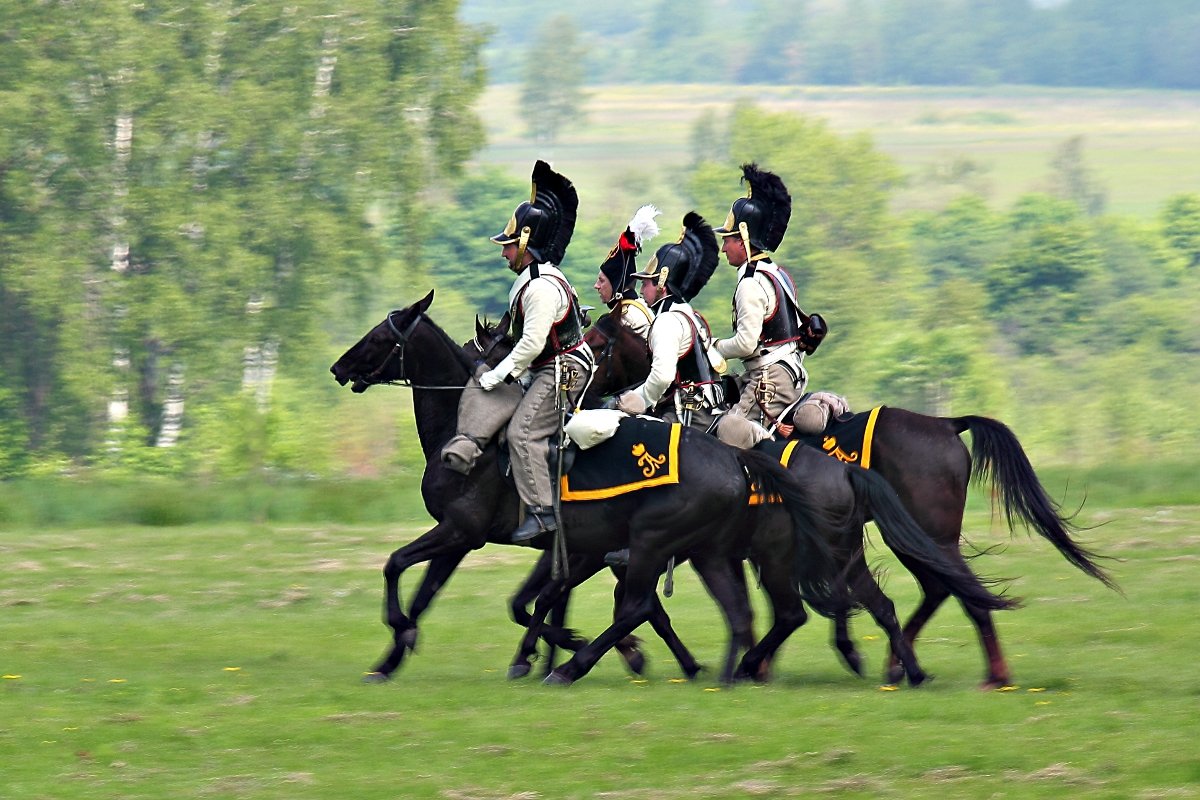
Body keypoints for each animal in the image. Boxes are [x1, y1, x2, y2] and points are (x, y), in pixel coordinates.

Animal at [333, 291, 849, 686]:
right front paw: (391, 658)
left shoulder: (468, 533)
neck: (465, 436)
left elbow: (401, 567)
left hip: (692, 547)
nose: (339, 368)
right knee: (766, 611)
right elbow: (435, 594)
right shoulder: (475, 540)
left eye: (379, 337)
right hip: (721, 553)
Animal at [580, 309, 1113, 690]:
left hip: (927, 535)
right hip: (912, 537)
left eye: (601, 343)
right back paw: (901, 664)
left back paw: (986, 674)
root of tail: (946, 424)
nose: (586, 392)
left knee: (959, 591)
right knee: (939, 588)